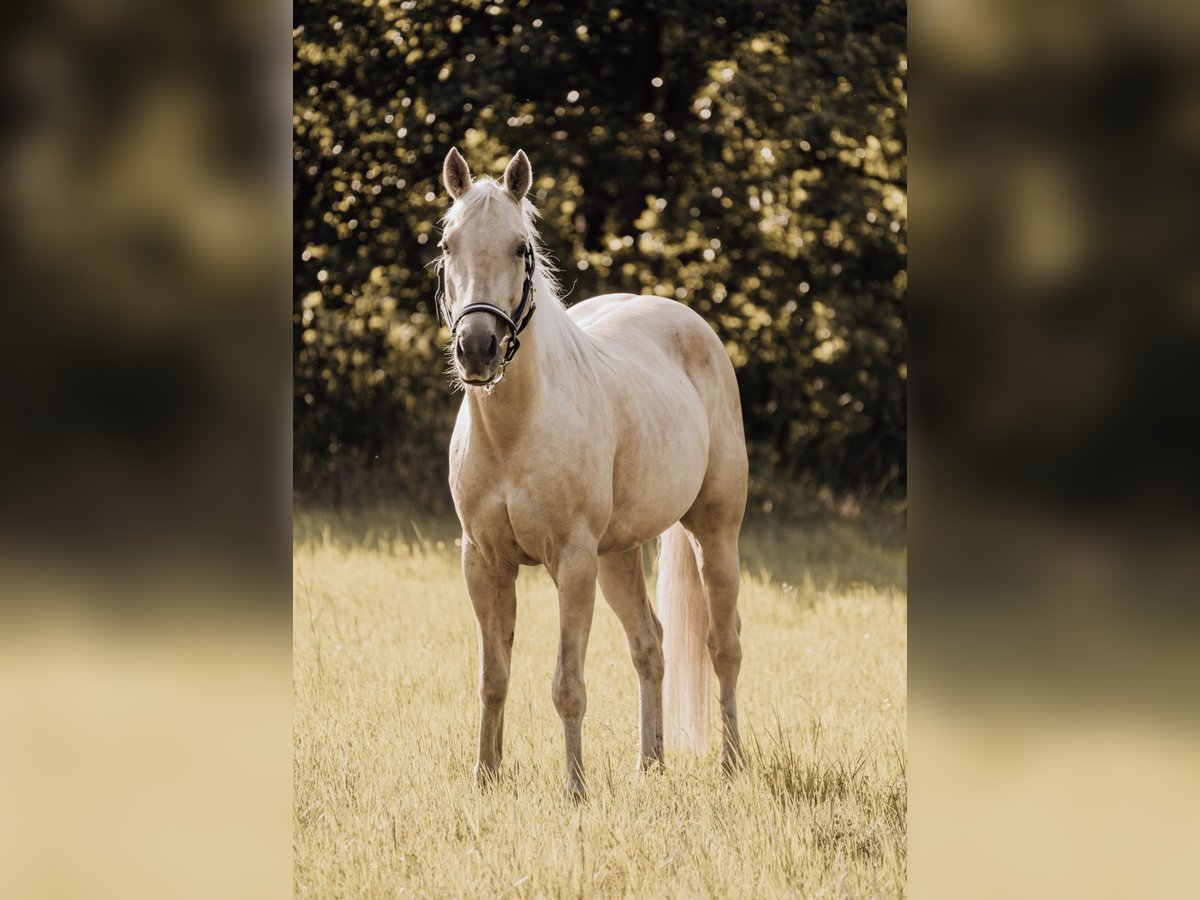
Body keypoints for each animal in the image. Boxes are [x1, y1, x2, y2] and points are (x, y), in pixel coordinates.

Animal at [436, 150, 744, 801]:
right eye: (448, 244)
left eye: (521, 247)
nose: (477, 349)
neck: (516, 429)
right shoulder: (482, 562)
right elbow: (493, 678)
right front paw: (485, 778)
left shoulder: (572, 562)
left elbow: (567, 685)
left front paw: (574, 790)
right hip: (618, 555)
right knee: (650, 645)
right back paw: (649, 764)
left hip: (714, 534)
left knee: (723, 645)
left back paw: (733, 764)